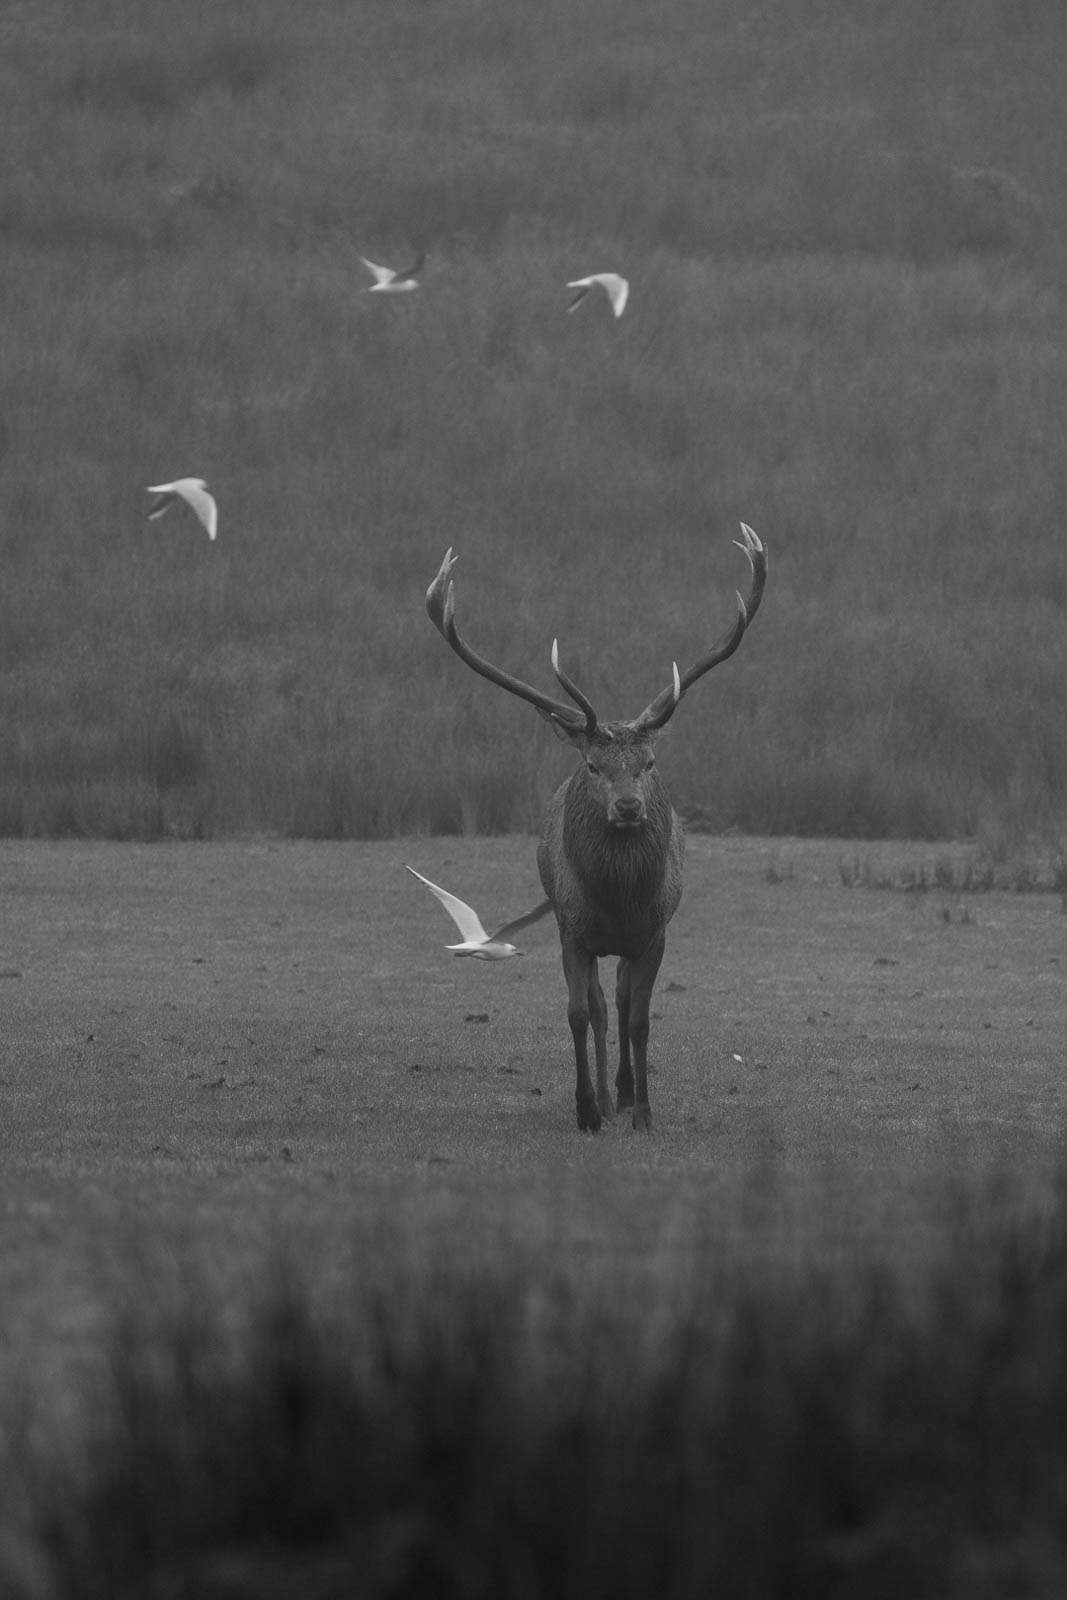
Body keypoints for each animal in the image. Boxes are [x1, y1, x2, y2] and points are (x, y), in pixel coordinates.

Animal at [425, 524, 767, 1133]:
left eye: (649, 763)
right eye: (591, 765)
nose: (629, 806)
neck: (618, 901)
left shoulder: (654, 932)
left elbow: (641, 1018)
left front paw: (644, 1113)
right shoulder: (572, 929)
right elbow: (580, 1012)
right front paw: (587, 1109)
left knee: (624, 1002)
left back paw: (625, 1094)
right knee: (604, 1006)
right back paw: (608, 1098)